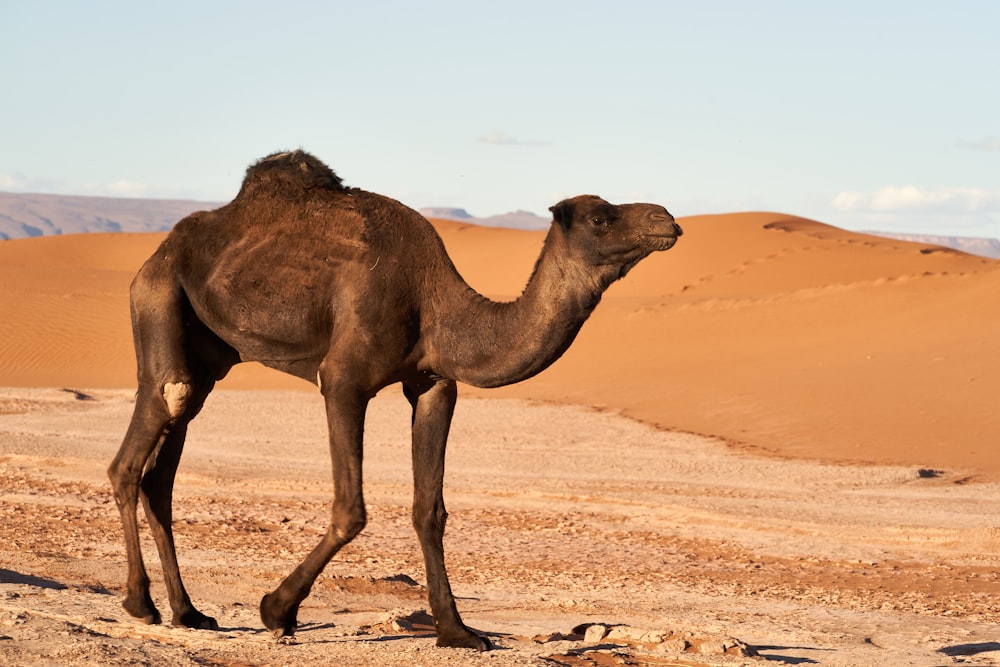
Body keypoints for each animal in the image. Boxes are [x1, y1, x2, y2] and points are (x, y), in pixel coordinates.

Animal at [107, 149, 680, 648]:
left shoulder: (433, 384)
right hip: (159, 301)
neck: (433, 301)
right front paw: (277, 609)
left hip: (208, 358)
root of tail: (158, 252)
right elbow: (351, 509)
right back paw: (141, 604)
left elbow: (430, 510)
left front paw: (458, 632)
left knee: (161, 472)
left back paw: (187, 612)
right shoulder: (343, 380)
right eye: (601, 218)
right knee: (139, 446)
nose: (668, 218)